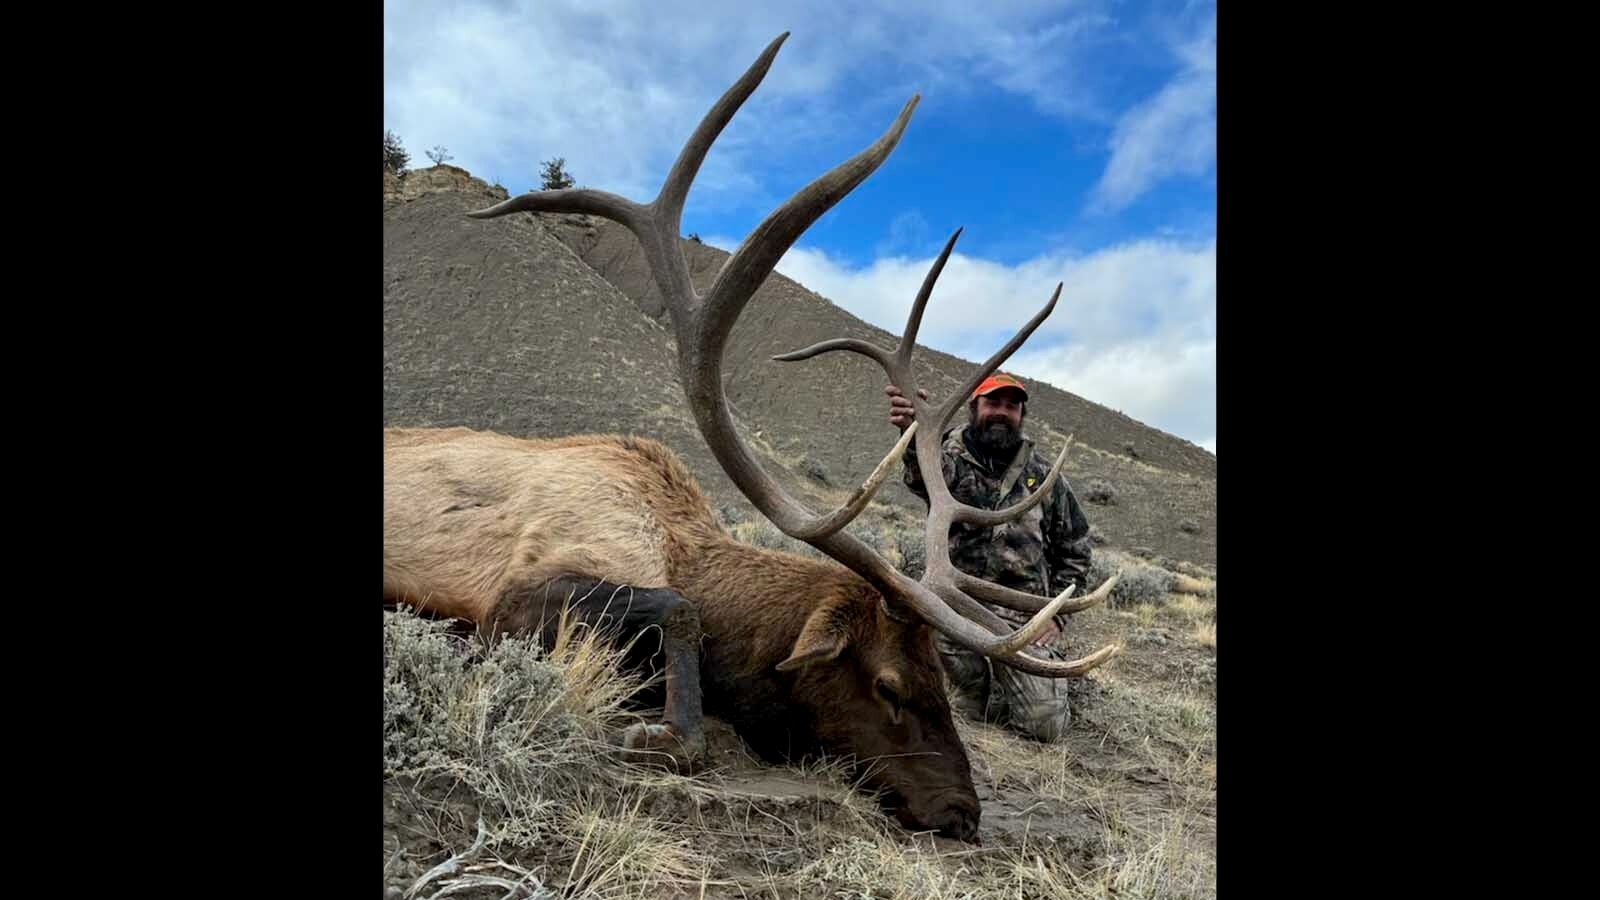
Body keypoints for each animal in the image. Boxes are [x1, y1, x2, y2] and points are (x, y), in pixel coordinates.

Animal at [383, 32, 1124, 843]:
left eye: (941, 679)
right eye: (889, 685)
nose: (962, 813)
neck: (676, 540)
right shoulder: (513, 592)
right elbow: (680, 617)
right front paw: (657, 732)